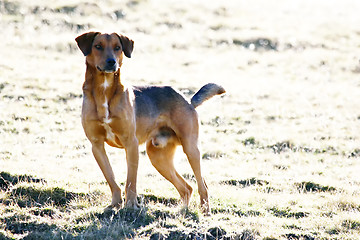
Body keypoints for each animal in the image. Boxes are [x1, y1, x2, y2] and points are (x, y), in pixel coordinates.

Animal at [75, 31, 225, 214]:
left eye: (117, 47)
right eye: (98, 46)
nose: (112, 62)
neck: (104, 90)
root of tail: (188, 101)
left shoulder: (130, 143)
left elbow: (131, 180)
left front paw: (130, 205)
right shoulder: (97, 145)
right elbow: (111, 178)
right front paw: (115, 204)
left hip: (191, 148)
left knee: (202, 185)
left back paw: (205, 212)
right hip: (158, 157)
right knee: (186, 187)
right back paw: (182, 211)